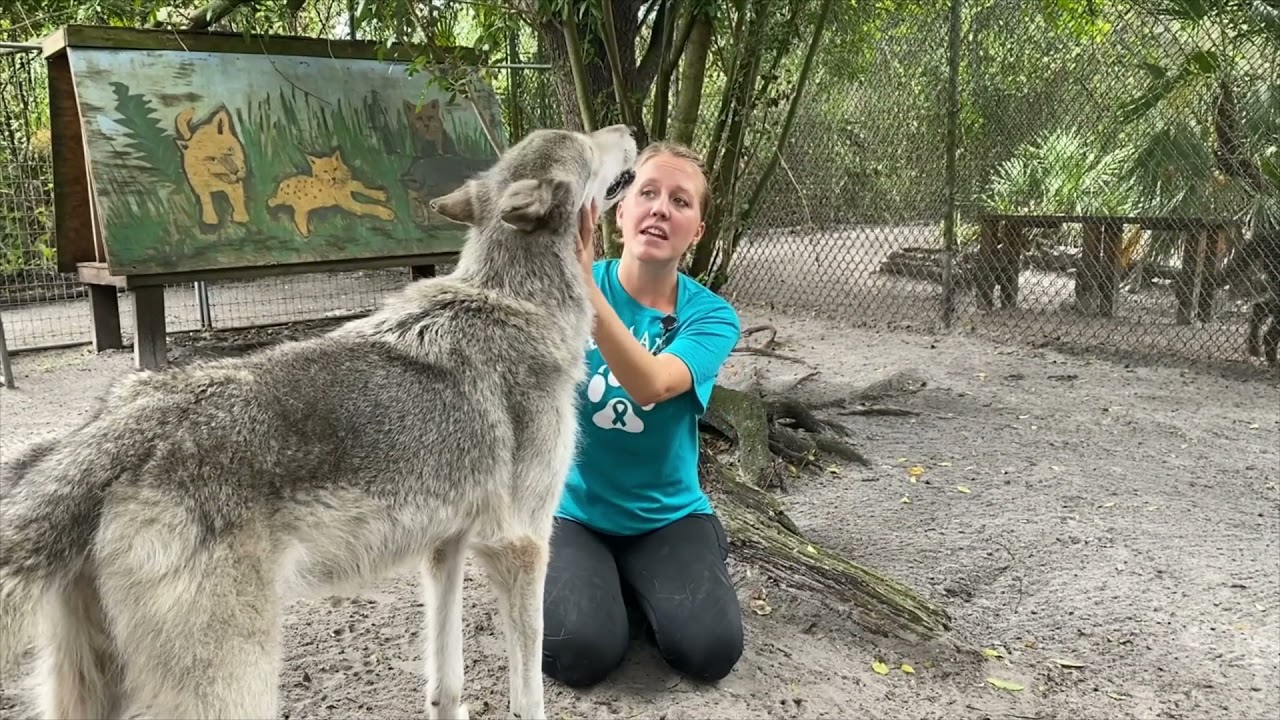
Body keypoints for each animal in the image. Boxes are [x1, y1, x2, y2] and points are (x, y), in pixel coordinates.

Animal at [0, 123, 639, 720]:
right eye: (588, 142)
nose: (628, 130)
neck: (515, 299)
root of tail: (122, 426)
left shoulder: (445, 547)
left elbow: (446, 679)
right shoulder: (522, 546)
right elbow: (529, 693)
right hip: (238, 684)